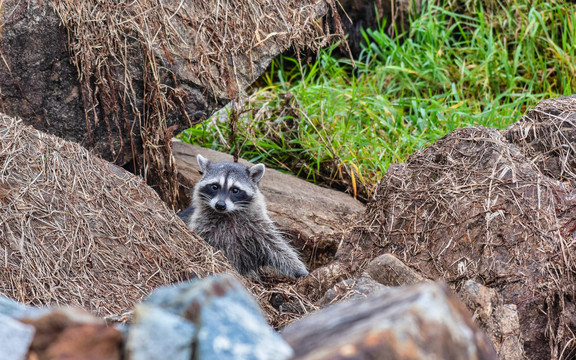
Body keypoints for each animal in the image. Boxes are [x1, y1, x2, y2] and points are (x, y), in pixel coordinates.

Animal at [182, 154, 310, 278]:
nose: (220, 205)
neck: (228, 214)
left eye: (235, 190)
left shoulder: (258, 224)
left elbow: (275, 245)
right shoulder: (202, 223)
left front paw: (297, 267)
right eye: (214, 186)